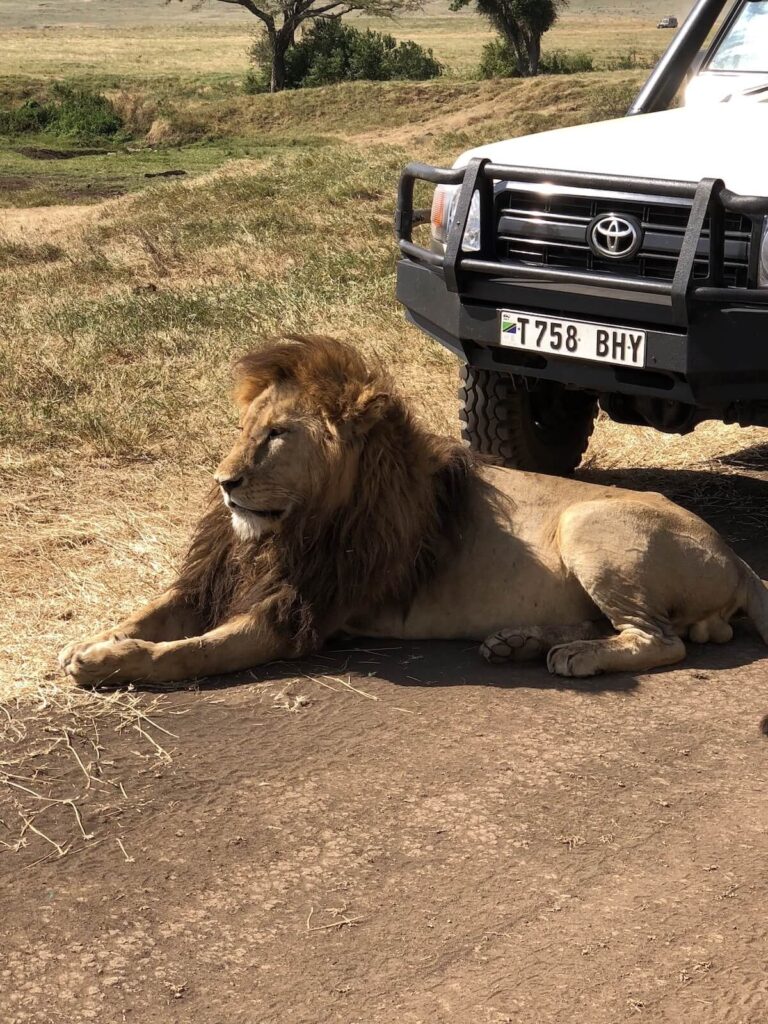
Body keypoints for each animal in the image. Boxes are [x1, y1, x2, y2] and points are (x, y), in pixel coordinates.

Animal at [59, 334, 768, 687]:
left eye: (278, 435)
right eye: (244, 429)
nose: (224, 482)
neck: (283, 532)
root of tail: (737, 559)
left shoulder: (301, 612)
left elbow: (194, 650)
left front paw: (112, 664)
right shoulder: (218, 580)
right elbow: (151, 612)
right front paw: (94, 640)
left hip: (587, 524)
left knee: (664, 641)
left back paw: (576, 658)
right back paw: (521, 642)